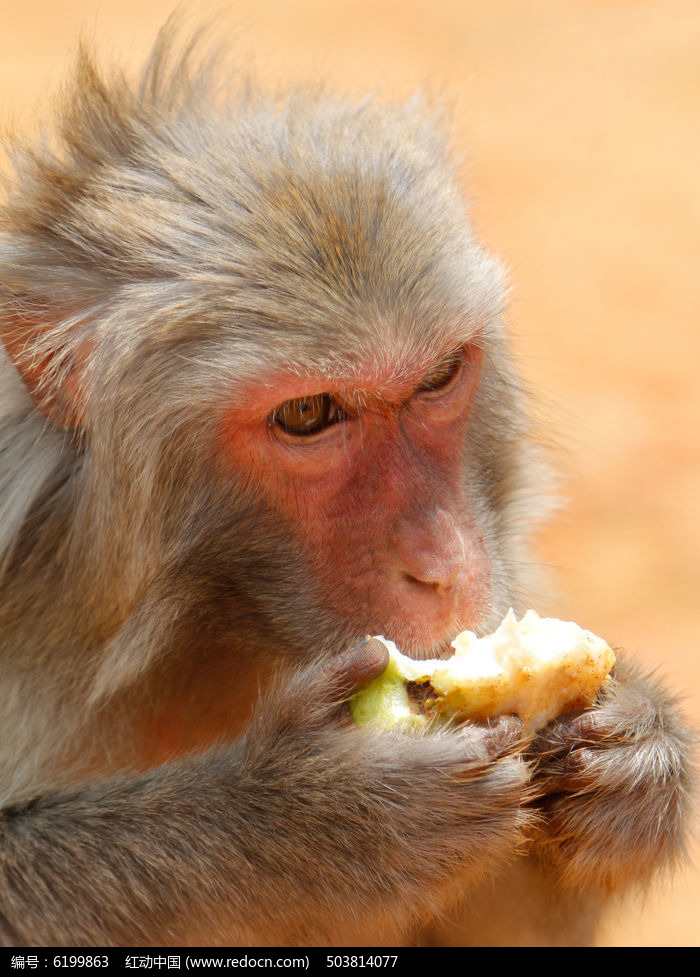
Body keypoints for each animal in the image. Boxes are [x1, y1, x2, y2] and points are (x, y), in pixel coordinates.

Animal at [0, 24, 692, 944]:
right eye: (307, 414)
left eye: (439, 375)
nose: (443, 562)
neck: (205, 632)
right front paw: (311, 818)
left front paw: (641, 751)